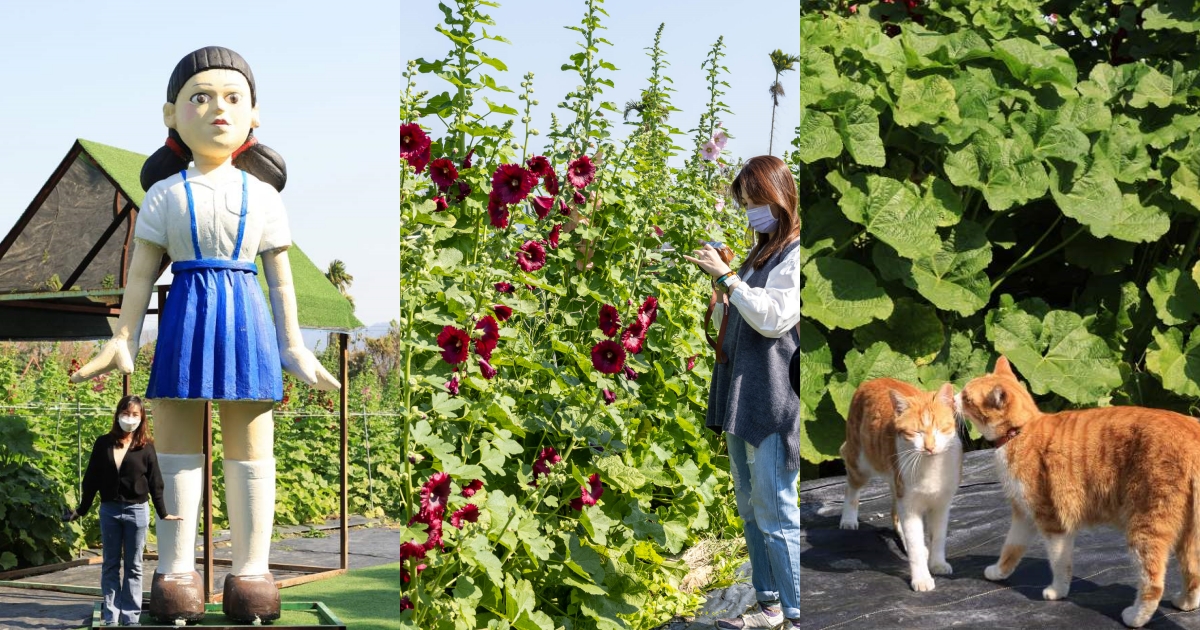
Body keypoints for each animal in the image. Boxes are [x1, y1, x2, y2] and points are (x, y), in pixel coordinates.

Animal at [844, 379, 964, 590]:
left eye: (939, 429)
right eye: (916, 432)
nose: (929, 447)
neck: (930, 465)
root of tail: (872, 380)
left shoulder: (941, 504)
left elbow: (938, 536)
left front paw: (937, 564)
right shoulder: (909, 505)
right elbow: (914, 542)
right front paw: (921, 578)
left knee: (895, 514)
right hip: (861, 463)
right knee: (852, 486)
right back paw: (848, 519)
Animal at [955, 355, 1200, 624]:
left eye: (967, 397)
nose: (952, 397)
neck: (1019, 432)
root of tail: (1192, 434)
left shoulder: (1052, 521)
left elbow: (1060, 563)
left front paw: (1057, 592)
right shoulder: (1023, 515)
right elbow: (1010, 548)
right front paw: (998, 572)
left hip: (1146, 525)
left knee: (1154, 583)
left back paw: (1135, 617)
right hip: (1189, 534)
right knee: (1193, 572)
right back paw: (1185, 604)